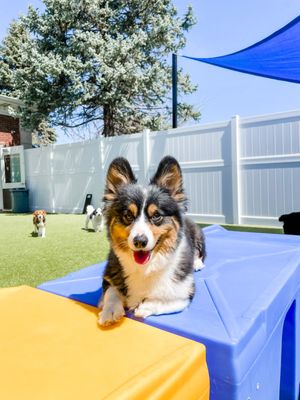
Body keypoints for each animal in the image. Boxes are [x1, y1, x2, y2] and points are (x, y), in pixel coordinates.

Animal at [98, 155, 206, 326]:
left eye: (156, 215)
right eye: (128, 215)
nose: (140, 241)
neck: (145, 268)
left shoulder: (185, 292)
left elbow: (166, 300)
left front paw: (146, 306)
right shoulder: (108, 276)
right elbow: (111, 291)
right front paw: (110, 311)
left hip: (198, 235)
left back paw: (197, 263)